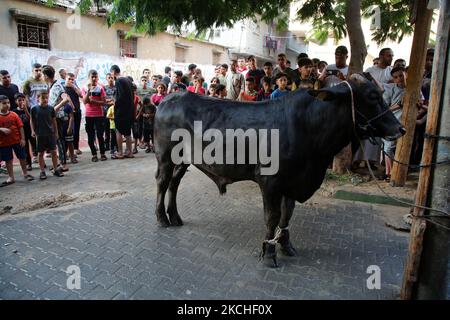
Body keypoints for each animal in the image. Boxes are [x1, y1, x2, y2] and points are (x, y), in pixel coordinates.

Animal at [153, 74, 406, 264]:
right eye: (372, 96)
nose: (400, 128)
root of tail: (169, 99)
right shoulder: (270, 182)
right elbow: (272, 217)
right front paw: (268, 253)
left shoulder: (292, 183)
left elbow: (287, 215)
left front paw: (286, 245)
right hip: (165, 156)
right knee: (163, 182)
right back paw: (162, 218)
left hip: (183, 160)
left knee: (174, 183)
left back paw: (175, 216)